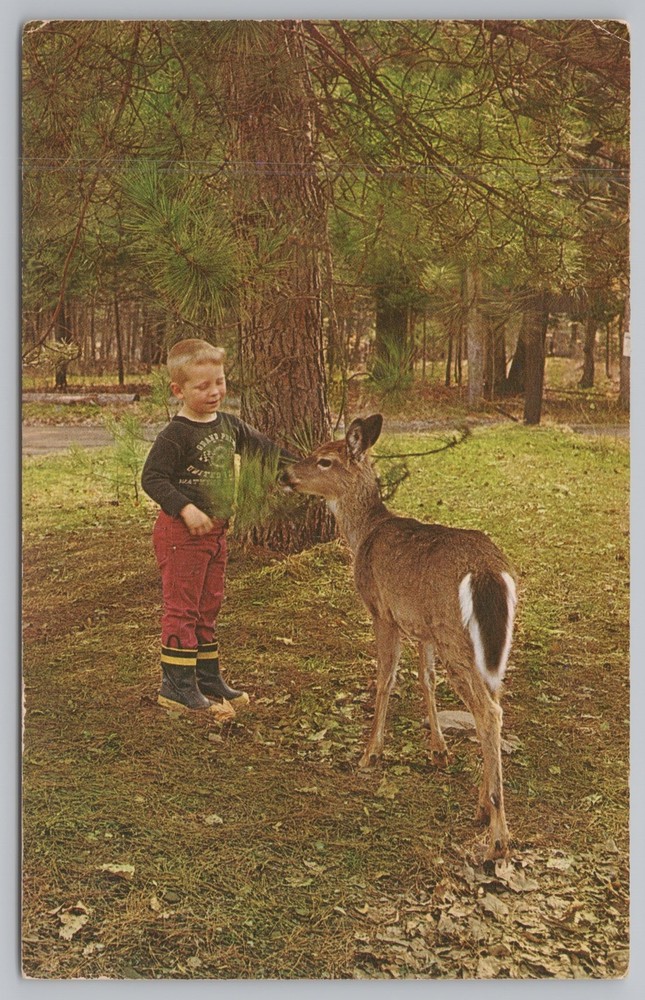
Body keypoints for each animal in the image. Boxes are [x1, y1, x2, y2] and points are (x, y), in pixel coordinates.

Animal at [283, 414, 518, 859]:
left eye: (323, 460)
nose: (285, 474)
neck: (364, 534)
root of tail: (488, 573)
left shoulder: (383, 612)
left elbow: (385, 680)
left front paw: (370, 753)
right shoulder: (420, 627)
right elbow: (425, 680)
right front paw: (438, 750)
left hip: (456, 637)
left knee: (488, 712)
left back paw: (498, 836)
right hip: (489, 643)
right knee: (494, 705)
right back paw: (482, 807)